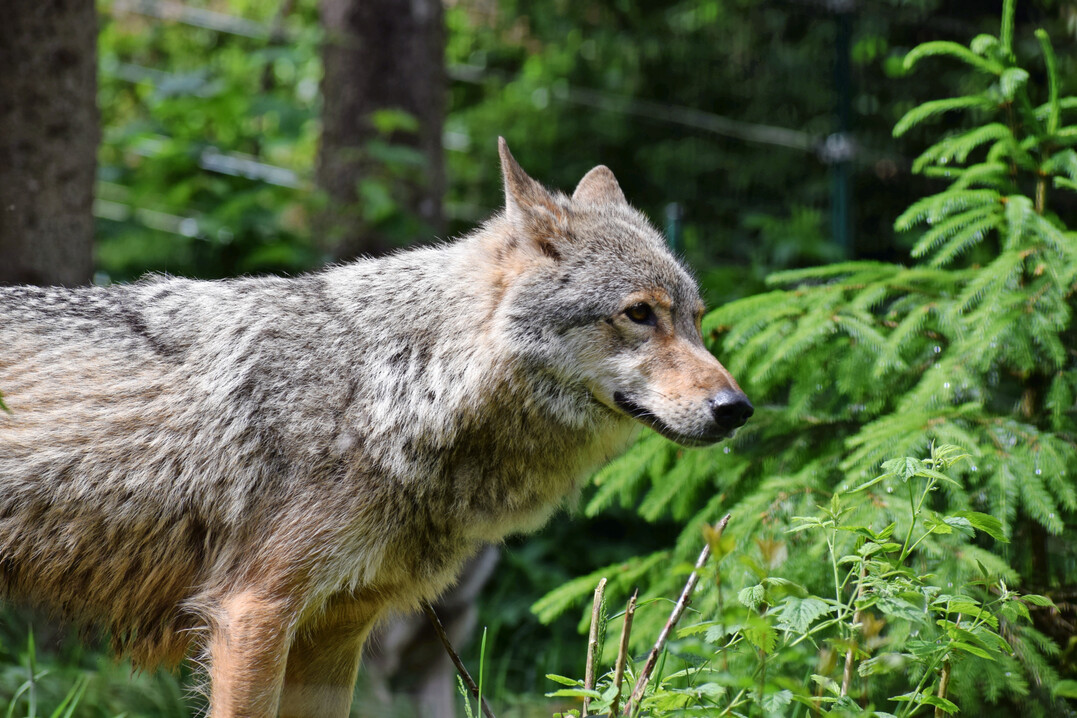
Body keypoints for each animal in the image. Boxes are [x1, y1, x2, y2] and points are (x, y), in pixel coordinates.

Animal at [0, 139, 752, 717]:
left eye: (695, 319)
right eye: (638, 314)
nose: (736, 408)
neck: (396, 387)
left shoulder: (335, 632)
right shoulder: (254, 613)